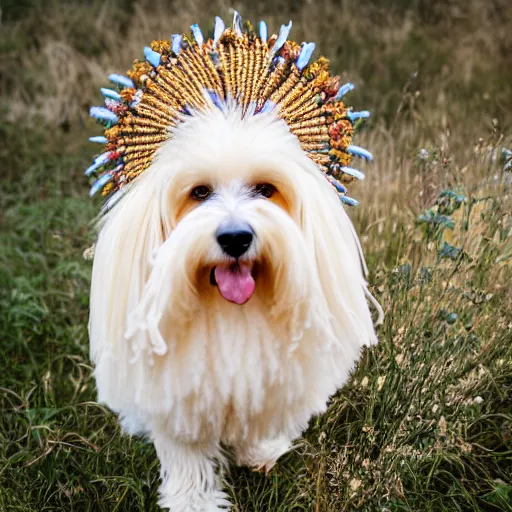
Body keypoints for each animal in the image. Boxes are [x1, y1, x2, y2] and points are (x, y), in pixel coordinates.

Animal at [89, 102, 380, 510]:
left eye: (265, 189)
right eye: (199, 192)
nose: (235, 237)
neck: (229, 308)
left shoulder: (265, 379)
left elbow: (258, 413)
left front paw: (260, 453)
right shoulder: (175, 393)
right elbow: (186, 453)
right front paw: (193, 501)